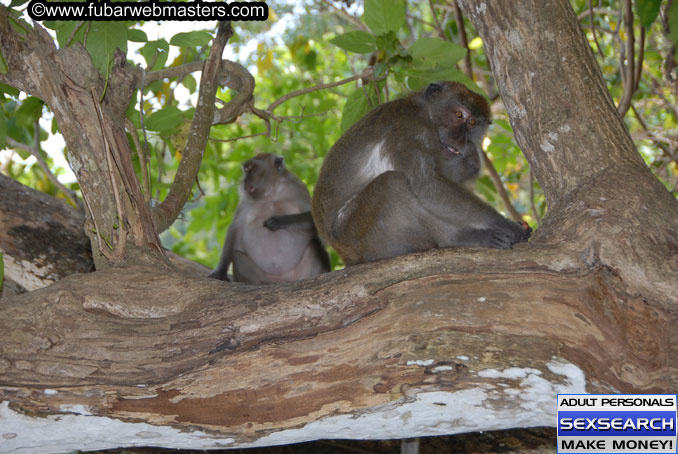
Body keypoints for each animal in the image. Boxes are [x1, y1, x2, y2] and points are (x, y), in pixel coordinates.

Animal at [210, 153, 332, 284]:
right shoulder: (244, 201)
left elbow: (317, 221)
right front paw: (220, 271)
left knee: (315, 243)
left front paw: (279, 221)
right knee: (237, 255)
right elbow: (235, 228)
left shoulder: (298, 188)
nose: (244, 180)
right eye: (246, 169)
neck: (271, 194)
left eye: (250, 168)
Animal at [312, 81, 532, 266]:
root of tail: (341, 251)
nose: (460, 139)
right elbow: (426, 185)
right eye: (459, 115)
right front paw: (506, 224)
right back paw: (458, 239)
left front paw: (471, 158)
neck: (427, 113)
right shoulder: (410, 129)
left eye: (472, 123)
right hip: (356, 235)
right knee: (392, 184)